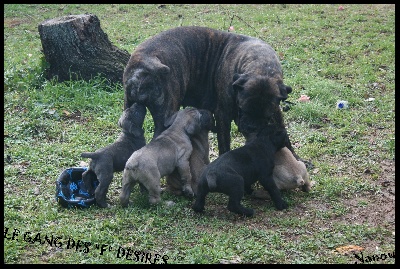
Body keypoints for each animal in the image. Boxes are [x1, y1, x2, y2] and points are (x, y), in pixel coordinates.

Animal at [122, 26, 306, 165]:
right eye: (242, 109)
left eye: (265, 117)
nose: (251, 127)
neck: (261, 66)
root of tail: (142, 64)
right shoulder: (223, 114)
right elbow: (224, 142)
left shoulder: (276, 110)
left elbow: (284, 132)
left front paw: (296, 158)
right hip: (165, 112)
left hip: (130, 109)